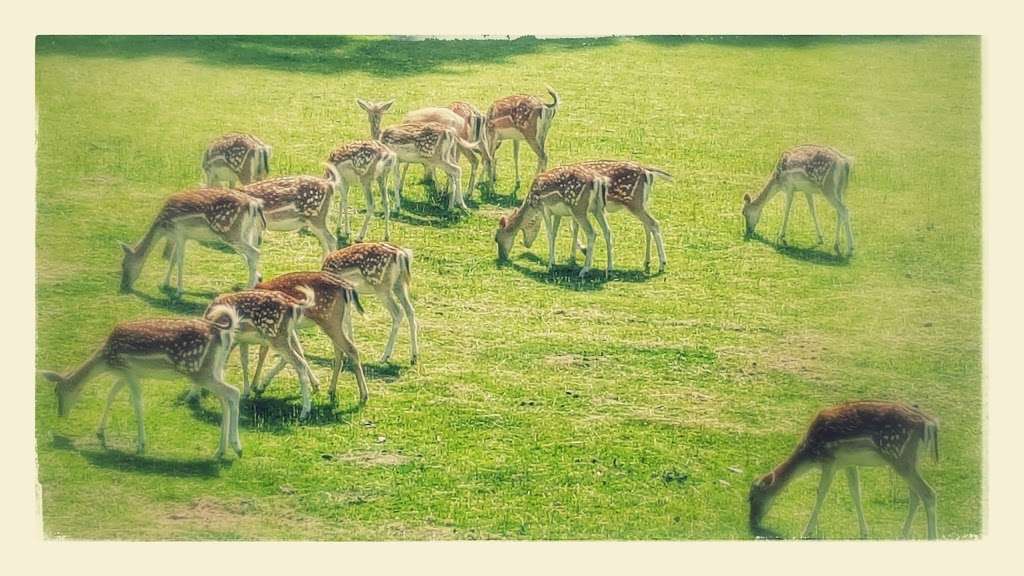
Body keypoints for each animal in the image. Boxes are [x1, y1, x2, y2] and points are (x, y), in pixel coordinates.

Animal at [39, 305, 243, 457]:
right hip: (216, 369)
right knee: (224, 400)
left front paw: (141, 445)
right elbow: (111, 395)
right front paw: (100, 430)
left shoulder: (128, 370)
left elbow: (137, 403)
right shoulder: (127, 374)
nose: (60, 414)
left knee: (234, 393)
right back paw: (221, 450)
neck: (107, 360)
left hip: (197, 370)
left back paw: (237, 447)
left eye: (56, 391)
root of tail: (221, 333)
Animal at [118, 188, 268, 295]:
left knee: (254, 252)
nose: (124, 286)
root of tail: (254, 204)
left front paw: (179, 290)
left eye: (123, 264)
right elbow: (173, 259)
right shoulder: (182, 237)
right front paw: (165, 284)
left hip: (229, 232)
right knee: (250, 256)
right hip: (248, 232)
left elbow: (179, 260)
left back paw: (247, 289)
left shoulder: (179, 231)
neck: (163, 227)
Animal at [250, 270, 370, 405]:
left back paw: (363, 396)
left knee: (351, 349)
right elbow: (299, 351)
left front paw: (255, 386)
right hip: (338, 322)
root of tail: (347, 288)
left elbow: (264, 352)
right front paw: (315, 385)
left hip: (330, 321)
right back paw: (331, 390)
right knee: (340, 352)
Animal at [749, 399, 937, 537]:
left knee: (928, 493)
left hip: (899, 457)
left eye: (753, 498)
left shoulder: (830, 461)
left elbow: (821, 494)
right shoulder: (849, 463)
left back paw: (930, 536)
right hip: (911, 461)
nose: (752, 522)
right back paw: (903, 534)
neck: (811, 454)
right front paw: (864, 531)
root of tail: (930, 423)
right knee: (916, 496)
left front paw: (807, 531)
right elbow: (856, 493)